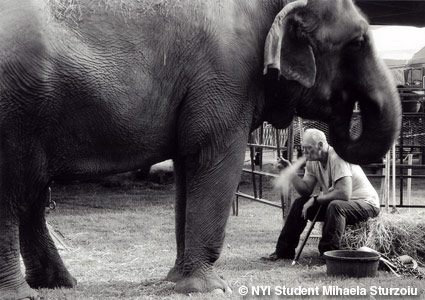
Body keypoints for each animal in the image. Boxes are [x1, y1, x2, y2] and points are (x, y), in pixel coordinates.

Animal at [0, 0, 400, 298]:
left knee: (32, 192)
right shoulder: (226, 76)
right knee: (15, 192)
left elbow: (188, 167)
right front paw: (212, 289)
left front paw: (177, 281)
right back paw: (23, 293)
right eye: (357, 42)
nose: (294, 157)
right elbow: (213, 158)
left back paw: (59, 285)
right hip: (13, 107)